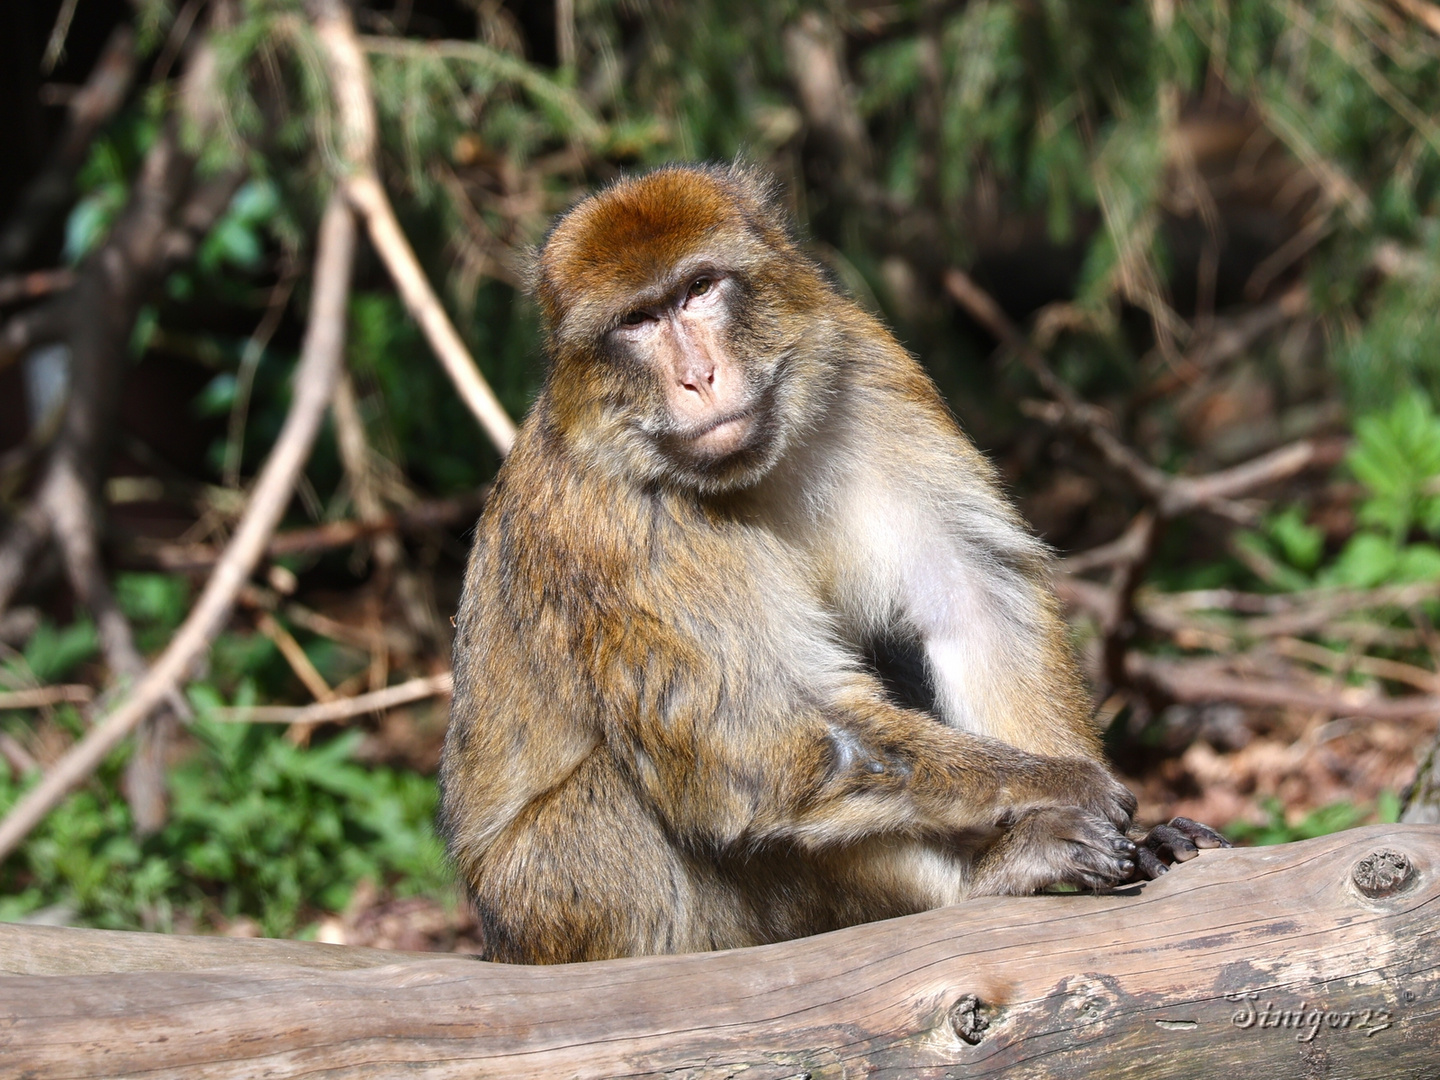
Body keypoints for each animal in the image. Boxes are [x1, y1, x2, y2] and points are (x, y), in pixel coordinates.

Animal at [440, 162, 1226, 961]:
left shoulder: (867, 367)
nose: (698, 377)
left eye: (698, 289)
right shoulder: (620, 521)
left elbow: (972, 600)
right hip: (571, 901)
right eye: (637, 321)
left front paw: (1132, 826)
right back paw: (998, 877)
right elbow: (756, 741)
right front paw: (1064, 787)